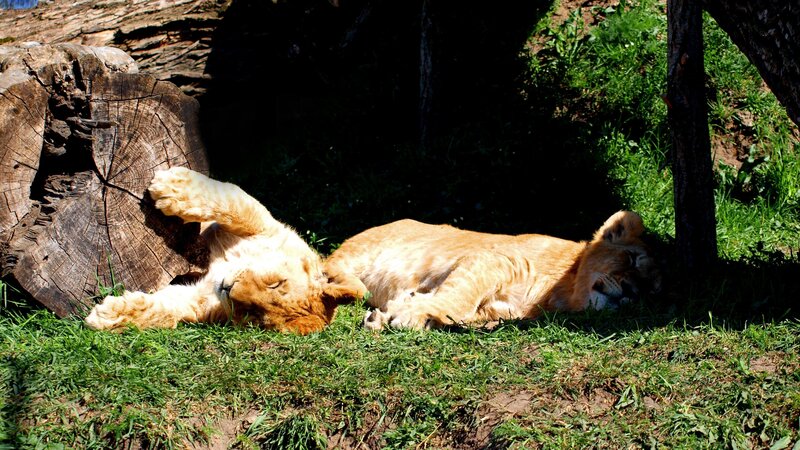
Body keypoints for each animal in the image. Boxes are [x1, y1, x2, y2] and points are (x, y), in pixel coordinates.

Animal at [85, 167, 363, 335]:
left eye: (255, 316)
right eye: (275, 283)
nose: (229, 289)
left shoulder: (200, 301)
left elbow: (166, 311)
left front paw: (109, 315)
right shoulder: (264, 224)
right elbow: (231, 203)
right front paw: (173, 184)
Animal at [323, 211, 661, 330]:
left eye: (651, 292)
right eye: (631, 259)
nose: (632, 292)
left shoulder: (499, 310)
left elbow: (459, 314)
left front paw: (400, 312)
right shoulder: (494, 259)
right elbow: (458, 296)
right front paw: (408, 312)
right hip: (357, 253)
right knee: (328, 268)